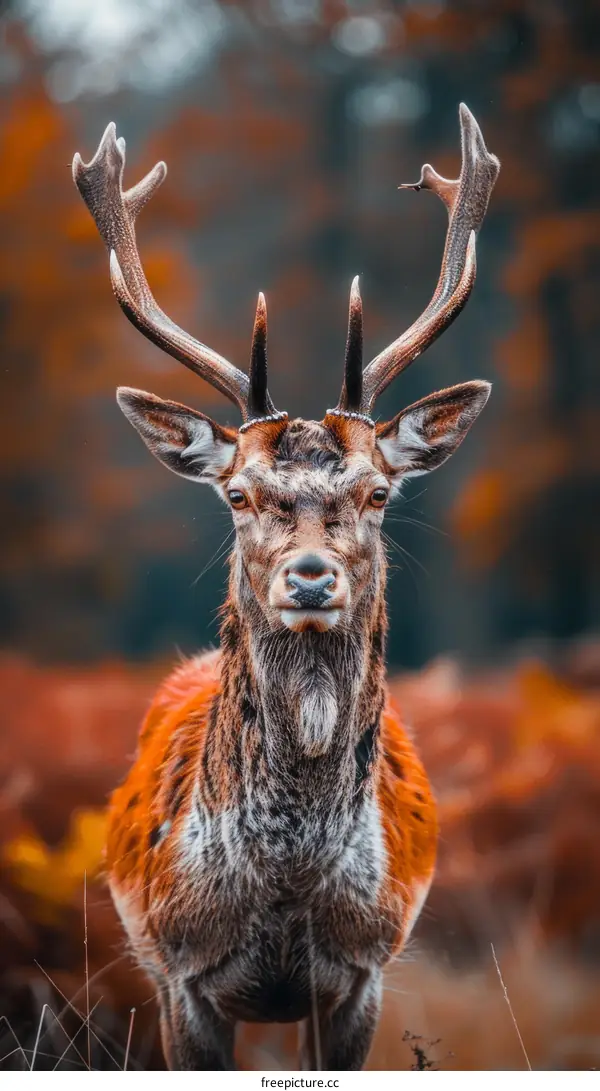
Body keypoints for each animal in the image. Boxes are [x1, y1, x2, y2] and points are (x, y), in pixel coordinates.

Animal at [72, 103, 499, 1071]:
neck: (285, 890)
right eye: (238, 494)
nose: (310, 577)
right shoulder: (180, 977)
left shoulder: (361, 973)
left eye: (377, 492)